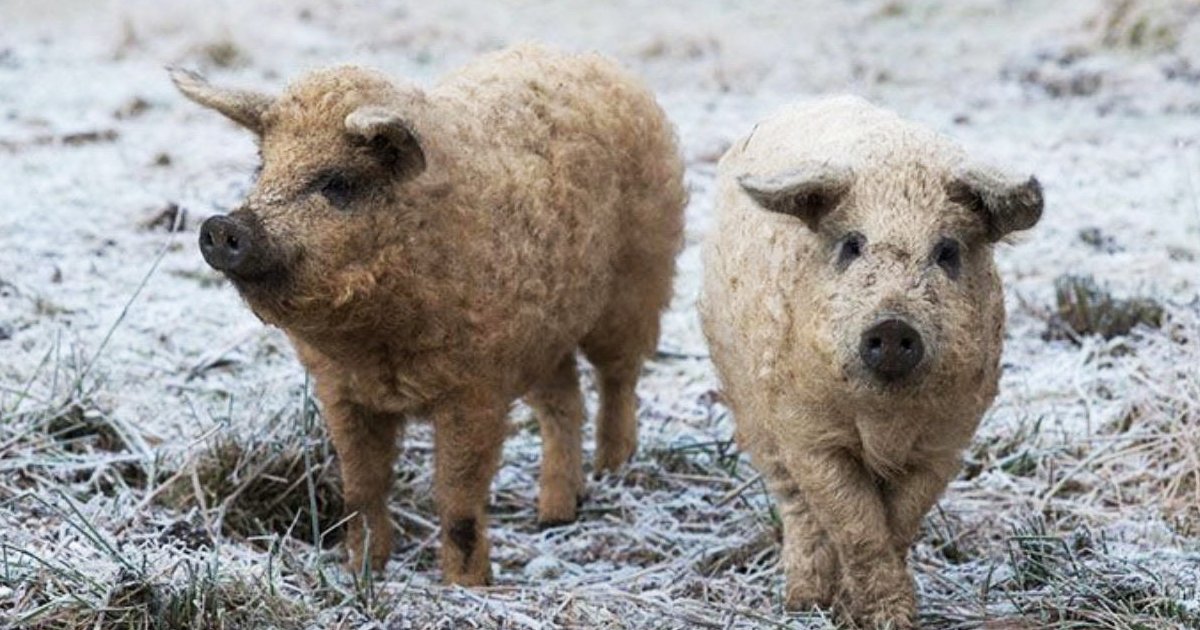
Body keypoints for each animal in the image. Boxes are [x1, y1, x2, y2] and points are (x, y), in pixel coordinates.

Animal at [175, 44, 691, 585]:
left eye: (338, 183)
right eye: (262, 167)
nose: (221, 226)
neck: (375, 343)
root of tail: (591, 59)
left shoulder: (476, 386)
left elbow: (458, 496)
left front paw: (467, 586)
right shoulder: (340, 390)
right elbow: (361, 486)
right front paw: (362, 572)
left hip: (640, 279)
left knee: (618, 378)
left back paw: (612, 470)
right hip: (544, 331)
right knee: (564, 401)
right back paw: (554, 515)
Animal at [700, 96, 1046, 624]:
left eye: (946, 251)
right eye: (852, 245)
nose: (893, 325)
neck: (885, 419)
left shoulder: (945, 442)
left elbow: (897, 522)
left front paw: (881, 617)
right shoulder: (810, 435)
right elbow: (856, 524)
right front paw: (870, 616)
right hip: (747, 402)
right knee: (794, 504)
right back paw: (801, 600)